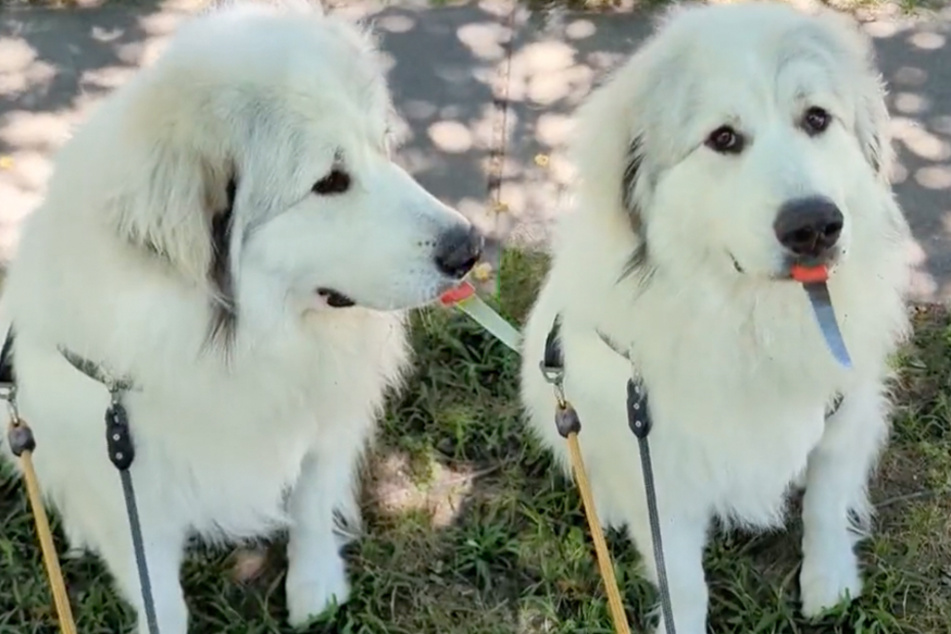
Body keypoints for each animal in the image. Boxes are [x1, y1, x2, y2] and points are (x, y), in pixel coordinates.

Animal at [0, 2, 484, 628]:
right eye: (329, 181)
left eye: (381, 145)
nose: (470, 248)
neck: (242, 349)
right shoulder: (132, 487)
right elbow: (156, 590)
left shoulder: (325, 419)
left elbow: (310, 503)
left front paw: (315, 589)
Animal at [520, 2, 916, 628]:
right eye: (723, 138)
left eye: (816, 118)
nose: (814, 226)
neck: (756, 318)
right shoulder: (659, 465)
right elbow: (680, 578)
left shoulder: (846, 410)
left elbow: (826, 502)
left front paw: (829, 583)